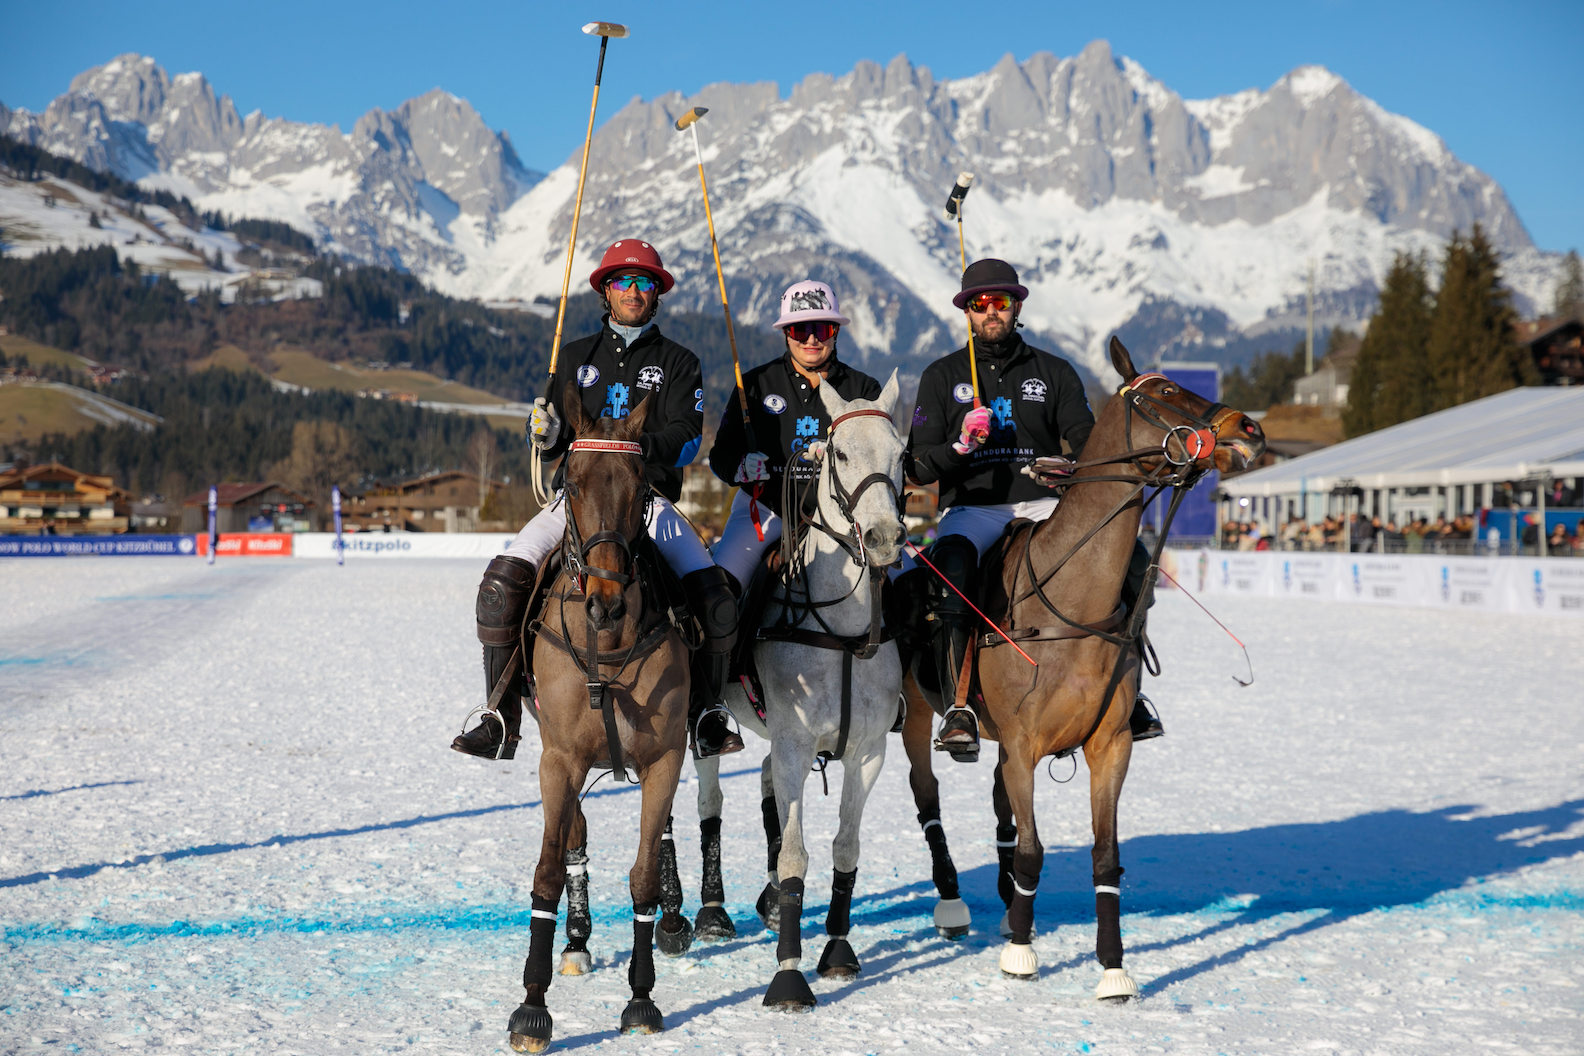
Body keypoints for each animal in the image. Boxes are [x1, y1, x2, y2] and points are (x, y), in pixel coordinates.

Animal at [506, 386, 693, 1051]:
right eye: (573, 481)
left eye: (641, 488)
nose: (605, 604)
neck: (609, 647)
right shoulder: (559, 757)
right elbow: (546, 870)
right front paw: (531, 1007)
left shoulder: (665, 756)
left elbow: (641, 874)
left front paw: (641, 997)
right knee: (574, 836)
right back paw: (577, 941)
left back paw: (674, 918)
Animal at [693, 372, 918, 1006]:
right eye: (838, 454)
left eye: (901, 455)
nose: (884, 537)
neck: (840, 629)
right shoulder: (796, 744)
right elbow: (796, 852)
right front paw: (789, 976)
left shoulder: (868, 752)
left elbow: (845, 846)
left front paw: (837, 950)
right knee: (710, 801)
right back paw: (711, 913)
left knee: (768, 785)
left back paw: (770, 904)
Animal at [906, 338, 1260, 1000]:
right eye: (1165, 391)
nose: (1249, 428)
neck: (1071, 598)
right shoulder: (1023, 745)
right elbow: (1034, 851)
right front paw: (1021, 955)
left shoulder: (1109, 744)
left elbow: (1103, 854)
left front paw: (1113, 969)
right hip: (914, 716)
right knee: (928, 797)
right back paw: (953, 904)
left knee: (999, 807)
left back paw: (1004, 904)